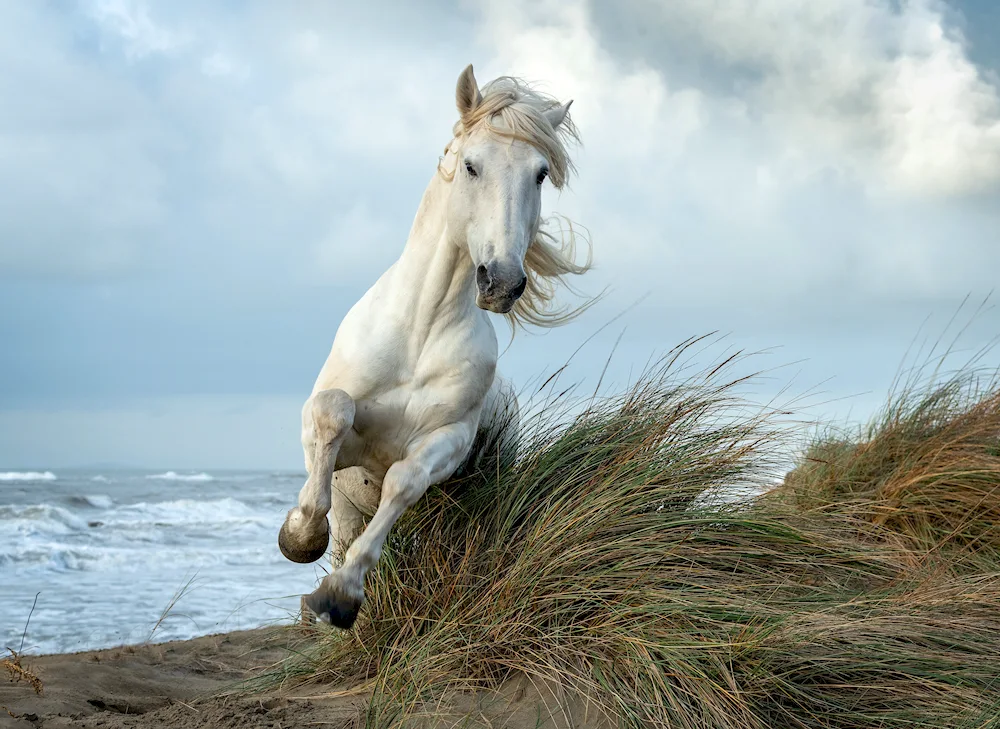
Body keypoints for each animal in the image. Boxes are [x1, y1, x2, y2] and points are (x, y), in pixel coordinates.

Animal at [280, 65, 592, 628]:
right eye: (471, 165)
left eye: (539, 174)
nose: (502, 282)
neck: (419, 332)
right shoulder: (343, 440)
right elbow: (333, 413)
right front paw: (299, 537)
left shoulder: (445, 441)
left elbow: (403, 479)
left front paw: (340, 595)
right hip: (351, 506)